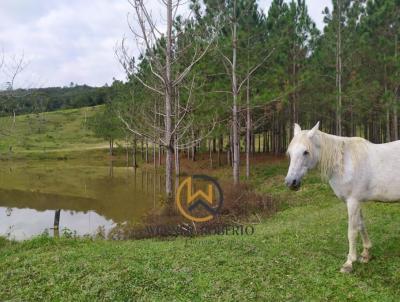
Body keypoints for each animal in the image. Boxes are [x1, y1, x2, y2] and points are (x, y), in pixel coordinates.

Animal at [284, 121, 400, 272]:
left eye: (306, 152)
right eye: (290, 153)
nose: (291, 182)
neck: (344, 163)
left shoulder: (353, 202)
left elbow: (352, 231)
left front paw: (349, 262)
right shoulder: (357, 202)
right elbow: (361, 226)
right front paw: (366, 254)